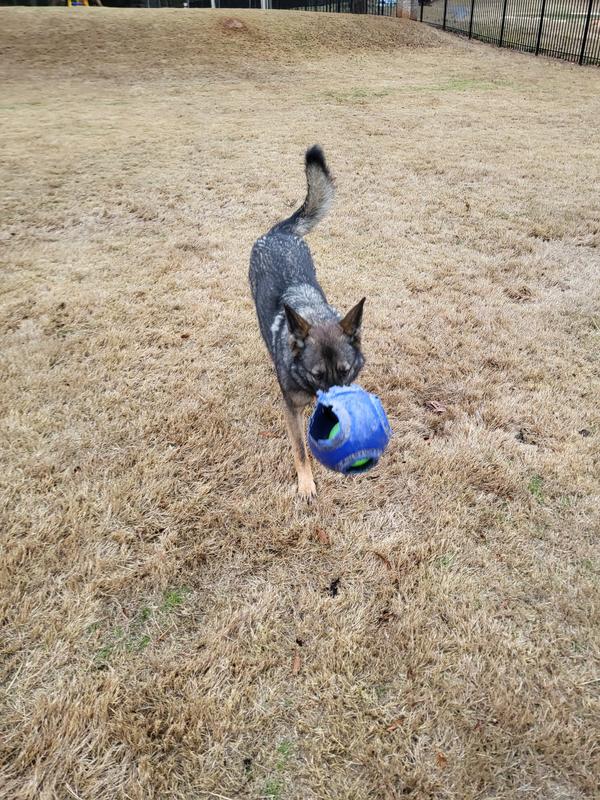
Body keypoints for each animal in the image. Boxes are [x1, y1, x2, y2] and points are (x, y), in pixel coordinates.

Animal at [248, 146, 366, 496]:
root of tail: (279, 232)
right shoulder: (291, 409)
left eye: (345, 370)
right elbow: (300, 448)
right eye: (316, 374)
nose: (333, 411)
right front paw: (305, 483)